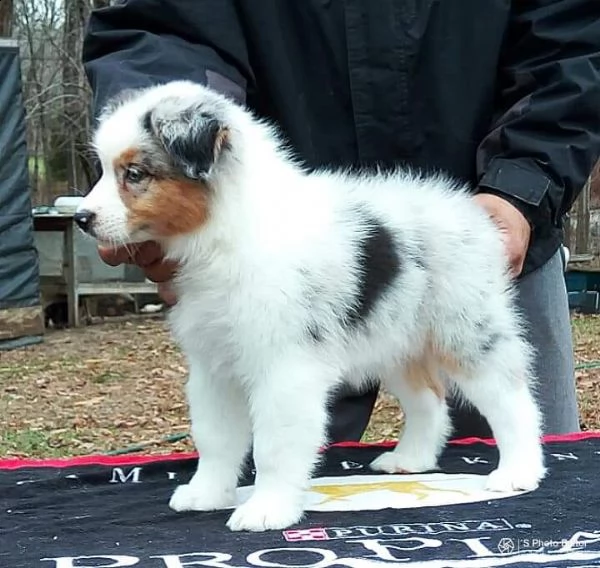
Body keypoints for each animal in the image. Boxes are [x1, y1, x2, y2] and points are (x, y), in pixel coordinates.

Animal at [77, 80, 548, 532]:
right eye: (105, 169)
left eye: (135, 173)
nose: (82, 218)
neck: (229, 230)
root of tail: (469, 214)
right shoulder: (214, 366)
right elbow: (215, 437)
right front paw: (206, 493)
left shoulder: (284, 368)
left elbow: (273, 446)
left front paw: (266, 509)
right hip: (395, 337)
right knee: (428, 399)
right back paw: (409, 459)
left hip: (466, 328)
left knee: (511, 398)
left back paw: (518, 472)